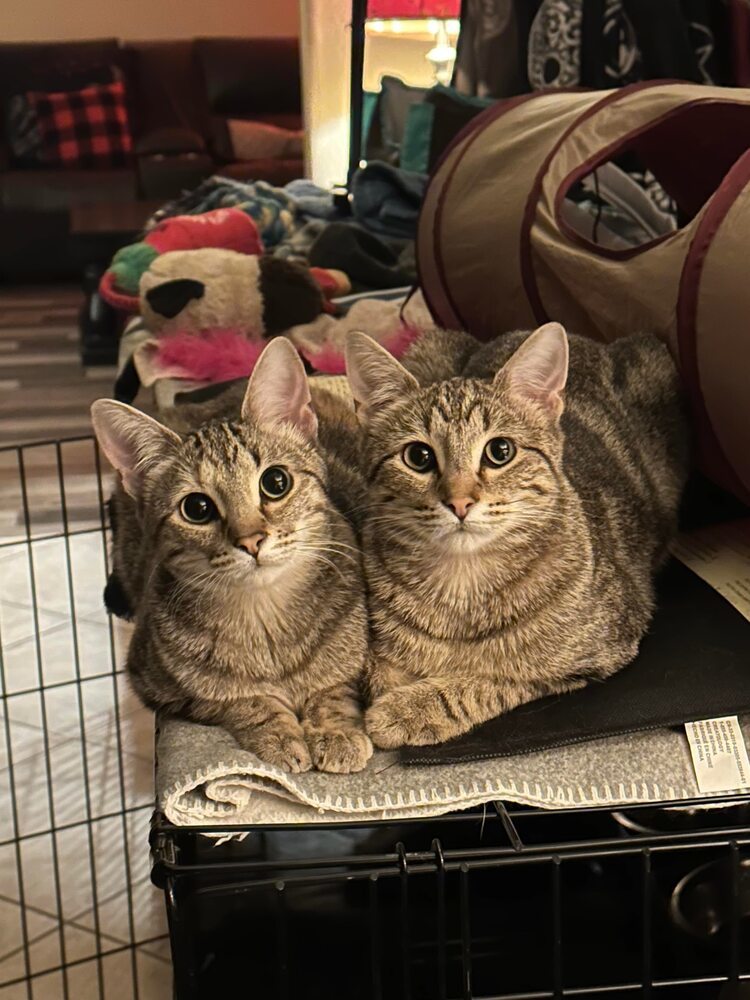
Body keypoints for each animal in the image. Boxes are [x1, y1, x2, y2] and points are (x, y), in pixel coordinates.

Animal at [91, 338, 374, 772]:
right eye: (197, 508)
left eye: (276, 482)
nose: (251, 540)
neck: (267, 623)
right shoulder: (158, 684)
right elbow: (240, 700)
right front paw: (278, 732)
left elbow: (333, 689)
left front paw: (335, 729)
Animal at [348, 324, 692, 748]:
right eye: (418, 457)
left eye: (500, 450)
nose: (459, 502)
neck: (461, 586)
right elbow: (376, 666)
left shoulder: (600, 650)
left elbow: (494, 678)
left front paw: (409, 708)